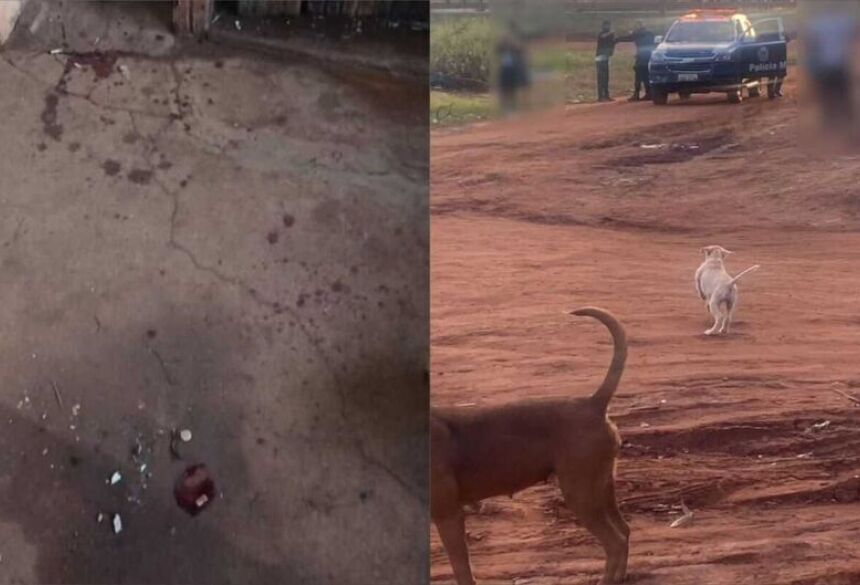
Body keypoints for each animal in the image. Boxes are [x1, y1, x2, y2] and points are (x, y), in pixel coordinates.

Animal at [434, 308, 628, 580]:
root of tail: (593, 404)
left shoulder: (448, 515)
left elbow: (462, 569)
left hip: (581, 493)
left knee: (615, 542)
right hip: (603, 488)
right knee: (625, 531)